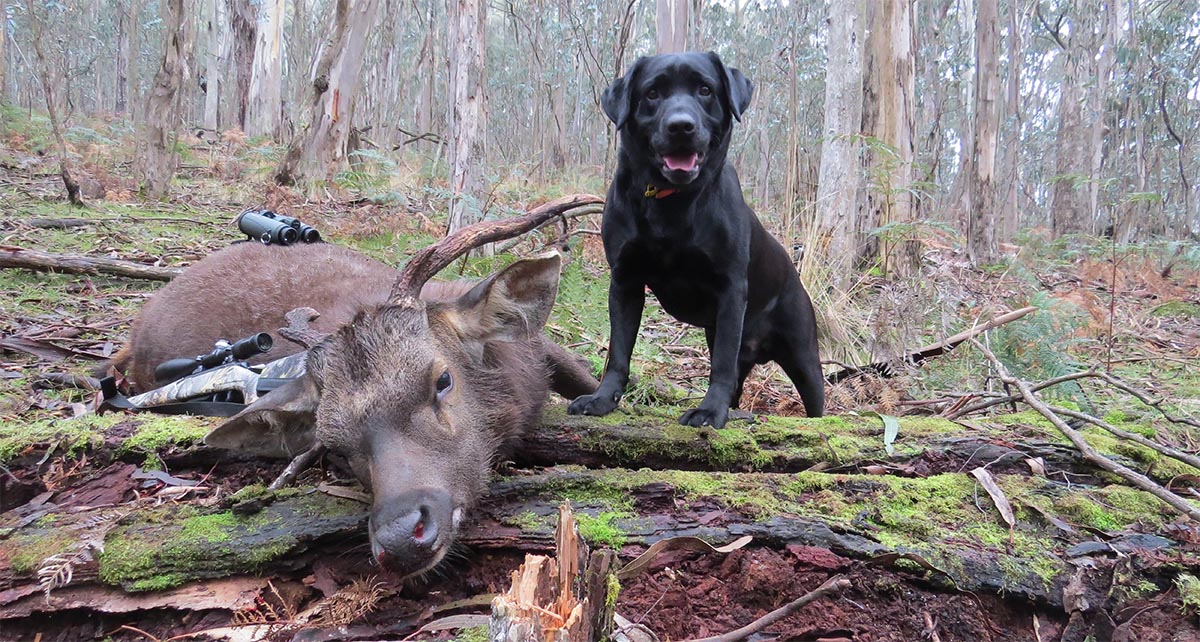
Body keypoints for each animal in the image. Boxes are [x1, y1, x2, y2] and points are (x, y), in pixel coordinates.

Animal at [566, 52, 820, 429]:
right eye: (652, 93)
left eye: (705, 89)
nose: (681, 126)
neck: (671, 200)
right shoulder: (625, 281)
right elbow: (618, 351)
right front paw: (602, 398)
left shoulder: (730, 290)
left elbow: (722, 365)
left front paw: (710, 411)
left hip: (805, 359)